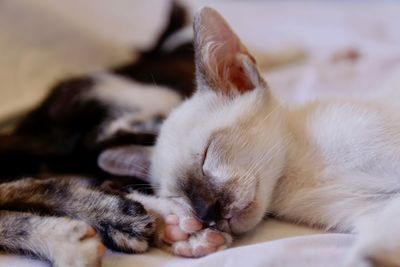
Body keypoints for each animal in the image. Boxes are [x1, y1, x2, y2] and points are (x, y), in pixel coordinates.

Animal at [133, 6, 400, 267]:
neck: (295, 181)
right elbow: (369, 254)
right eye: (178, 197)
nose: (208, 213)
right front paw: (189, 236)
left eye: (206, 155)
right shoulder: (372, 209)